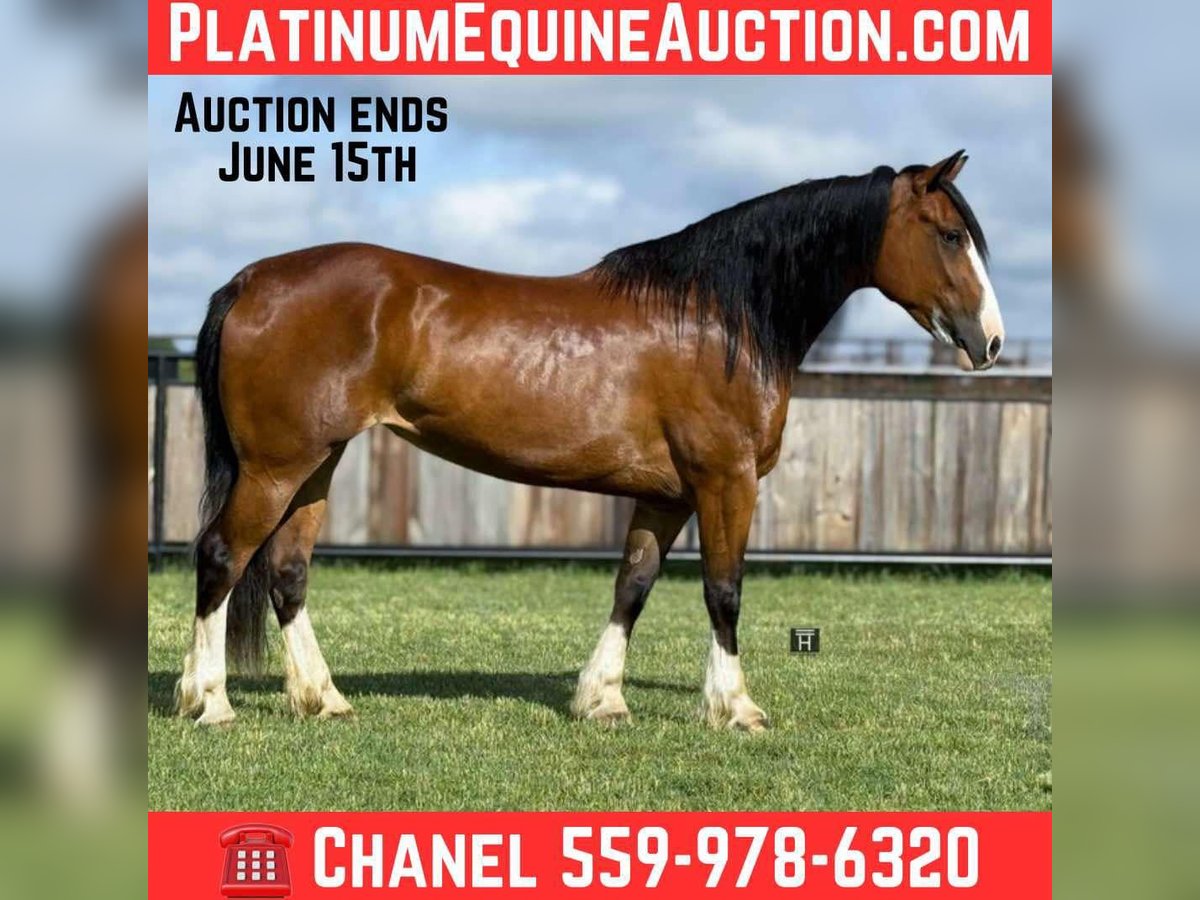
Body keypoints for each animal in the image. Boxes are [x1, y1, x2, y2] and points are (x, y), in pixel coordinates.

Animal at [176, 149, 1003, 732]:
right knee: (222, 556)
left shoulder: (666, 494)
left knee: (287, 572)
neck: (716, 319)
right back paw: (209, 702)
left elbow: (632, 586)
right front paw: (735, 708)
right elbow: (724, 591)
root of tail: (251, 280)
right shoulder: (725, 481)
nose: (990, 341)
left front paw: (601, 698)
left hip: (314, 465)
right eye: (951, 234)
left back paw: (323, 698)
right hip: (275, 467)